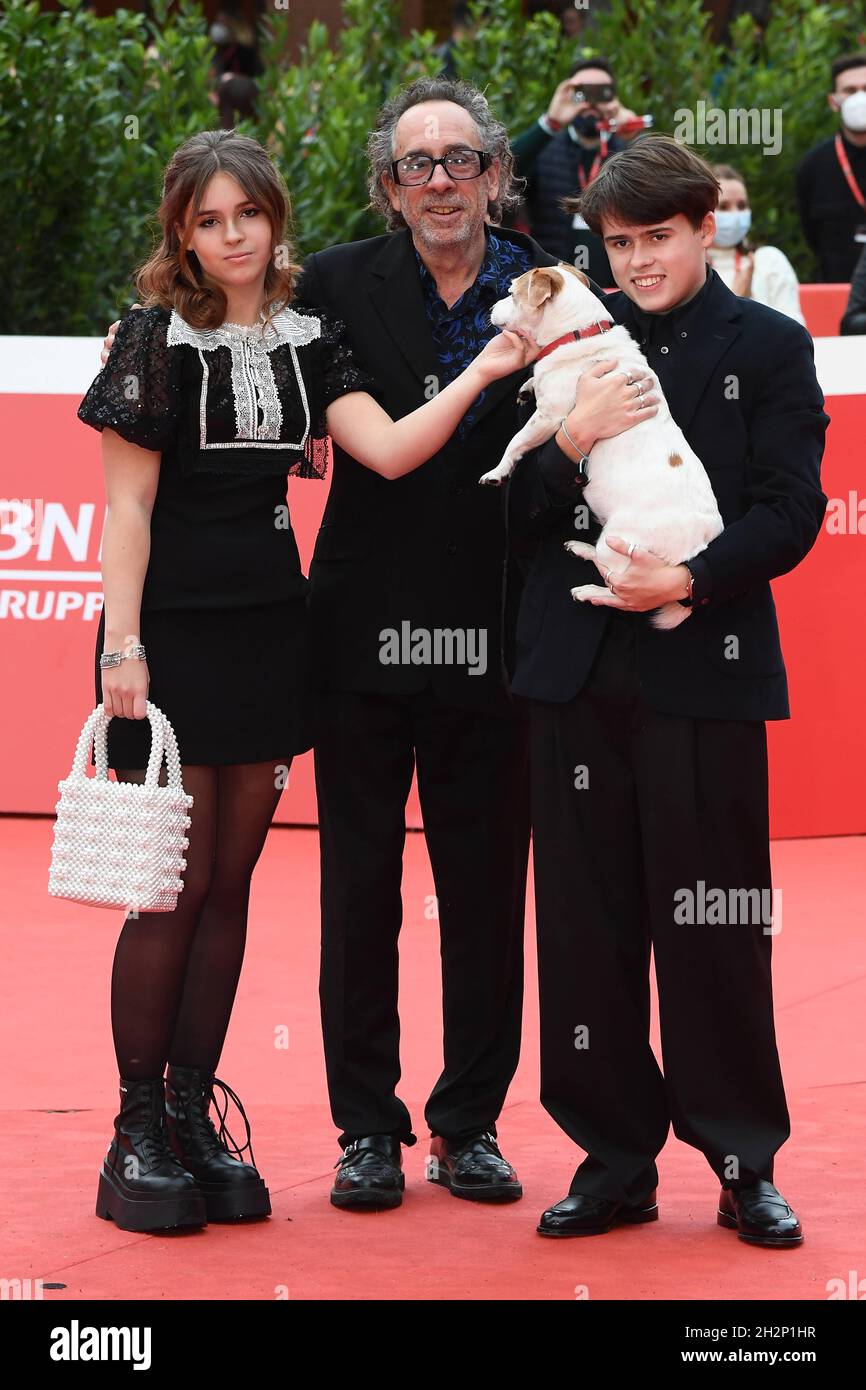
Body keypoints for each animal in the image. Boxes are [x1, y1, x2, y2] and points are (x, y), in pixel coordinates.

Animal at [480, 261, 722, 631]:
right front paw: (527, 384)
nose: (490, 308)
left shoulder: (549, 418)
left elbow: (516, 441)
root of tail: (699, 546)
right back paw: (582, 548)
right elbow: (535, 382)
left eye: (511, 292)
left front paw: (498, 471)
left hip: (619, 544)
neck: (580, 332)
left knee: (621, 590)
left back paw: (589, 592)